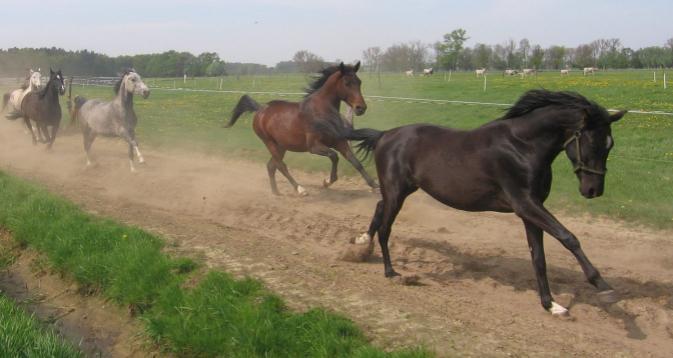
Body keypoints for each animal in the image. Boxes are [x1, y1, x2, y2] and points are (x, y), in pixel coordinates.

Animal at [224, 62, 378, 196]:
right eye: (347, 83)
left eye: (359, 82)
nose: (361, 108)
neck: (321, 112)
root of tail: (260, 108)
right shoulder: (313, 146)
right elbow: (334, 156)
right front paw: (327, 181)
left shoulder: (339, 142)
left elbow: (355, 161)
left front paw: (374, 185)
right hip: (269, 143)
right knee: (281, 166)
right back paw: (300, 189)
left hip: (281, 146)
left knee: (271, 166)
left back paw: (276, 192)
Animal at [350, 90, 628, 316]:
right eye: (592, 142)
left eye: (611, 144)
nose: (593, 190)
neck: (522, 146)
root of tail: (384, 135)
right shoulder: (525, 204)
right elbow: (568, 237)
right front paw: (604, 287)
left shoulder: (530, 211)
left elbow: (538, 258)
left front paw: (550, 305)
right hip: (397, 191)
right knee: (386, 228)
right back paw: (390, 271)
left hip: (400, 190)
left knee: (379, 208)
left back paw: (363, 242)